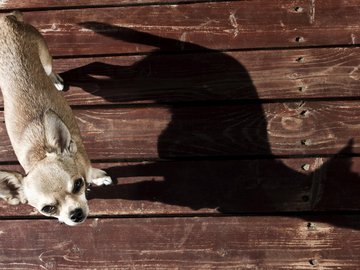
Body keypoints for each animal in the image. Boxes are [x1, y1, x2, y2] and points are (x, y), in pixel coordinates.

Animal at [0, 11, 112, 225]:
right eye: (48, 209)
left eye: (78, 184)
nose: (75, 214)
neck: (39, 152)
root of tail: (6, 18)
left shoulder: (86, 167)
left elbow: (92, 172)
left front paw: (100, 178)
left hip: (45, 59)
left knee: (51, 69)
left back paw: (56, 80)